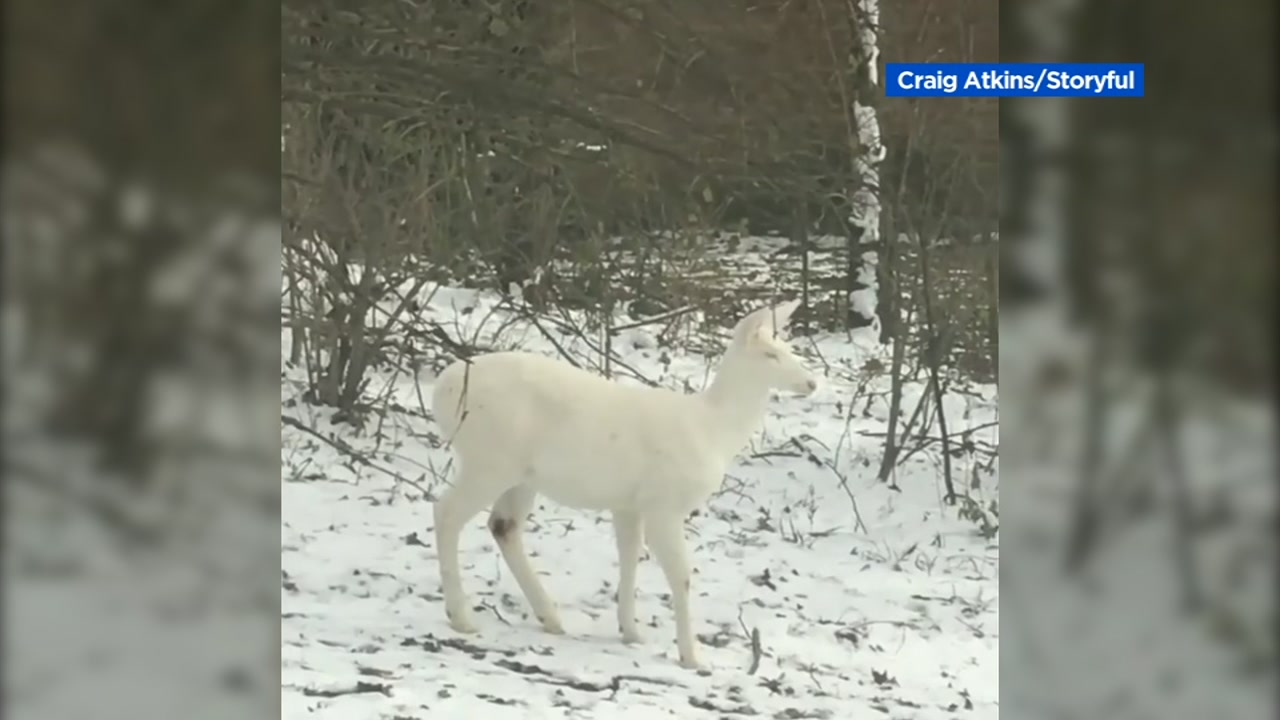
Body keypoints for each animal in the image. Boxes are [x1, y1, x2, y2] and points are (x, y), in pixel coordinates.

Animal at [430, 300, 817, 669]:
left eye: (789, 348)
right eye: (770, 354)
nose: (812, 383)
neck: (713, 429)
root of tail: (441, 391)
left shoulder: (629, 503)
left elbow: (630, 556)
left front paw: (631, 631)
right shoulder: (665, 502)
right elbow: (681, 574)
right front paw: (691, 656)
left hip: (521, 474)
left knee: (503, 525)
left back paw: (549, 617)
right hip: (490, 458)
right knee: (446, 511)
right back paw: (462, 617)